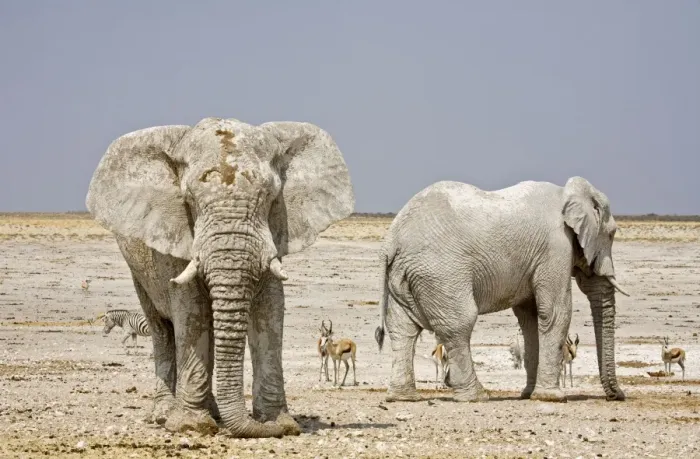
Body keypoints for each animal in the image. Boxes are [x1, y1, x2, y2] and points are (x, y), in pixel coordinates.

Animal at [86, 117, 354, 438]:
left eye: (271, 196)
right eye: (188, 199)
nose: (255, 427)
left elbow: (269, 311)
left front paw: (280, 425)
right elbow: (192, 312)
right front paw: (191, 425)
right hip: (137, 269)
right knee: (162, 330)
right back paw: (165, 415)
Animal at [374, 177, 629, 403]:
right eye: (612, 234)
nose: (617, 397)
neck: (567, 193)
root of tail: (392, 241)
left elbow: (530, 318)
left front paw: (528, 394)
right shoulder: (555, 248)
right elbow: (555, 312)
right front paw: (553, 397)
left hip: (403, 275)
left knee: (403, 330)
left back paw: (403, 397)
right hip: (440, 273)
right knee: (458, 325)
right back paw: (477, 396)